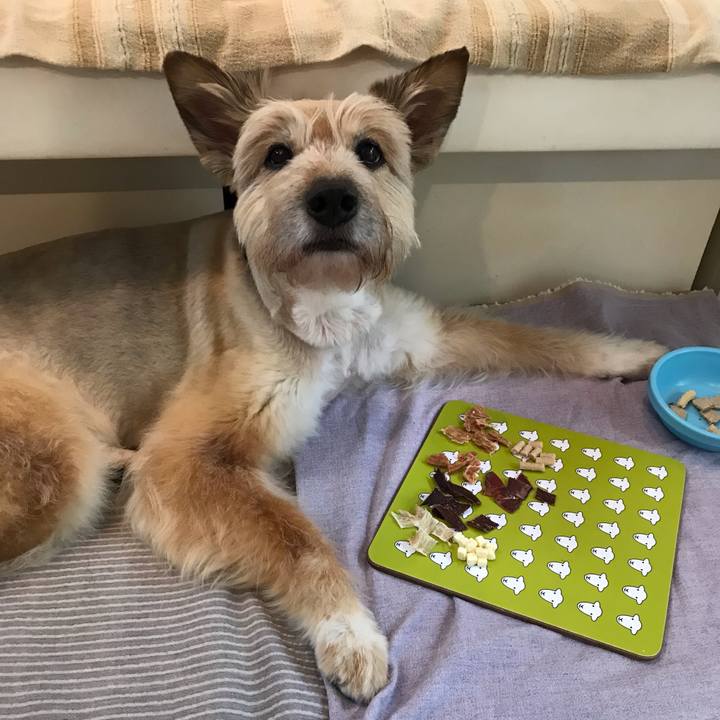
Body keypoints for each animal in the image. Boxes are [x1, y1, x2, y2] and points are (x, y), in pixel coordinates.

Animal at [0, 48, 664, 702]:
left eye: (370, 150)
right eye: (276, 154)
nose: (332, 198)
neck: (323, 309)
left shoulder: (420, 335)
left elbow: (537, 337)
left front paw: (633, 353)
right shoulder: (186, 460)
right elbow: (298, 541)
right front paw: (348, 632)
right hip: (54, 471)